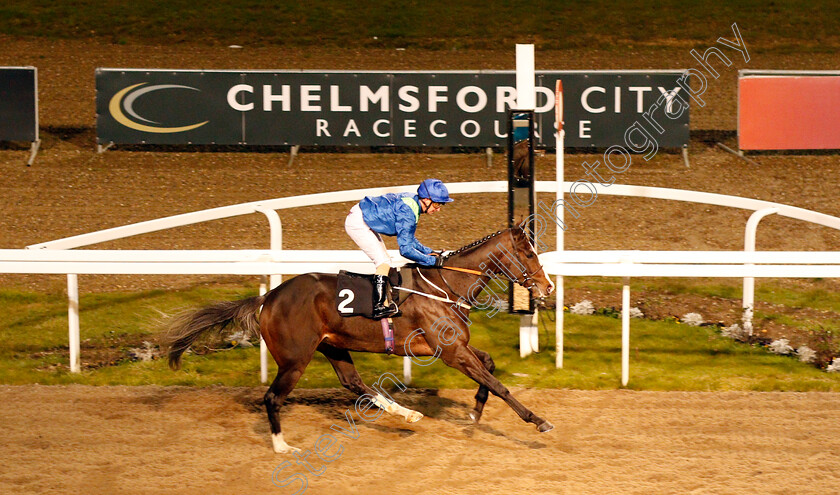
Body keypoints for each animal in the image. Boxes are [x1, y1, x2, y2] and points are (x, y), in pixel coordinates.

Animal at [164, 228, 556, 454]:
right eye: (529, 253)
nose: (548, 286)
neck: (445, 287)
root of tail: (269, 296)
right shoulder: (450, 353)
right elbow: (499, 384)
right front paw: (538, 421)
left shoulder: (456, 347)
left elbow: (489, 366)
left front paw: (474, 414)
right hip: (295, 359)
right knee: (273, 397)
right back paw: (282, 446)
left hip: (333, 346)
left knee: (353, 383)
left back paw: (406, 413)